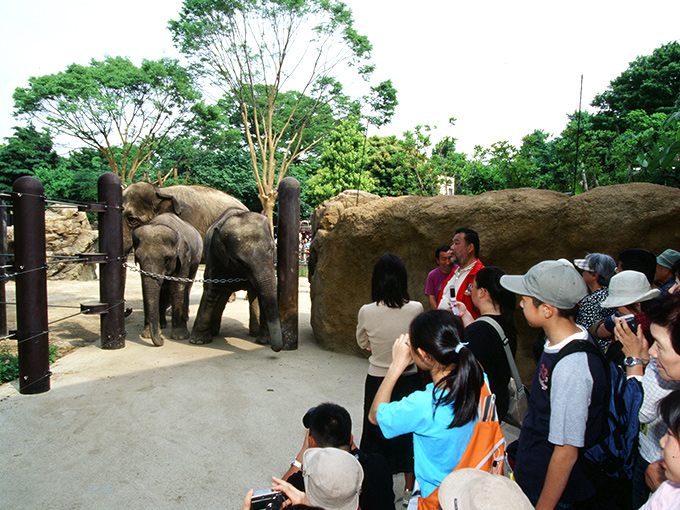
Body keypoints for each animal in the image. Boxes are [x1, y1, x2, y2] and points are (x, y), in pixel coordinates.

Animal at [131, 211, 202, 346]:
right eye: (137, 257)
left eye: (167, 258)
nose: (162, 340)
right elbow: (146, 288)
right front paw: (147, 335)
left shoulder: (184, 258)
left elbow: (177, 287)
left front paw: (180, 337)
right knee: (164, 291)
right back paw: (163, 324)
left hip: (196, 259)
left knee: (187, 287)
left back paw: (184, 318)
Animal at [190, 209, 282, 352]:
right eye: (240, 261)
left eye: (272, 249)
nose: (275, 348)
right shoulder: (214, 255)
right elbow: (211, 289)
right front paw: (198, 341)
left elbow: (261, 292)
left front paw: (264, 341)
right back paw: (214, 332)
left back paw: (254, 332)